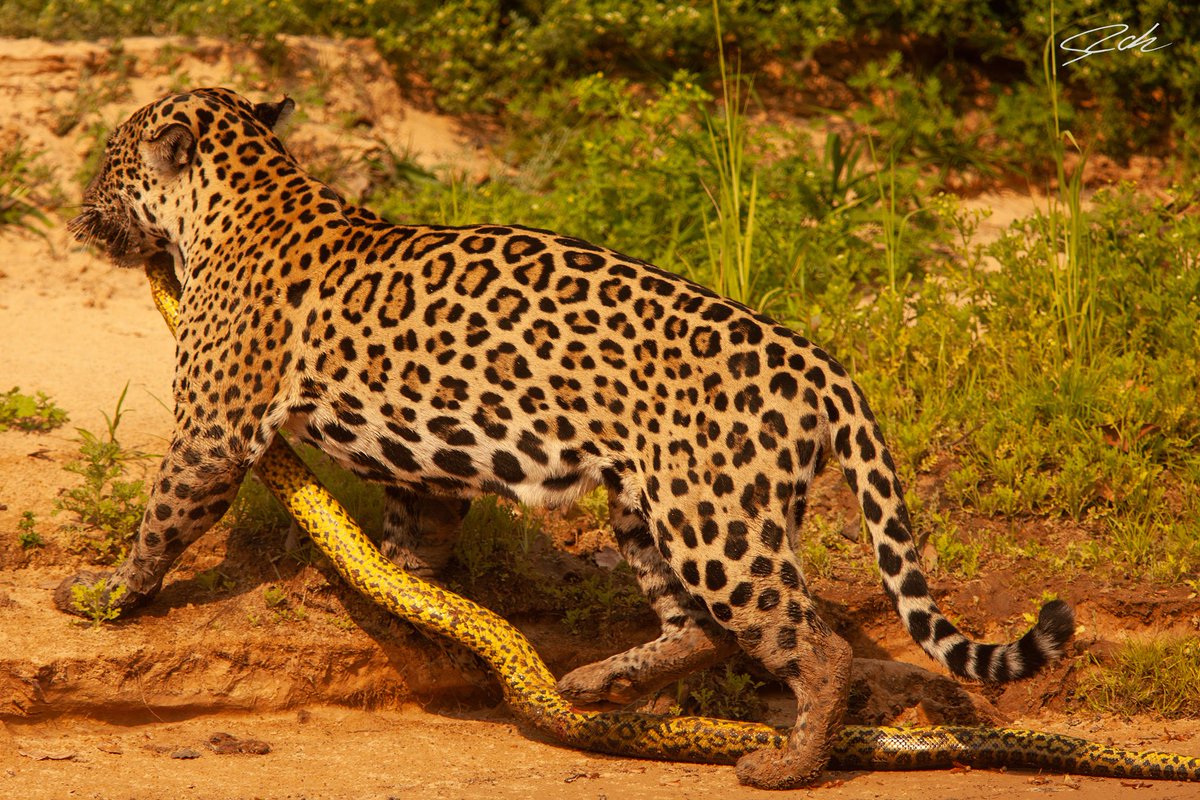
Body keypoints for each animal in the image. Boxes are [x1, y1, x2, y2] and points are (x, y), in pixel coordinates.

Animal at [59, 87, 1075, 789]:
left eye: (111, 161)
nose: (77, 215)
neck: (245, 198)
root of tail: (822, 365)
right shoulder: (430, 476)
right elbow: (415, 538)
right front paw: (411, 605)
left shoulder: (211, 428)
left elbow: (161, 518)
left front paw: (107, 595)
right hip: (648, 504)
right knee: (699, 627)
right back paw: (596, 685)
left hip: (717, 520)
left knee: (807, 644)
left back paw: (784, 765)